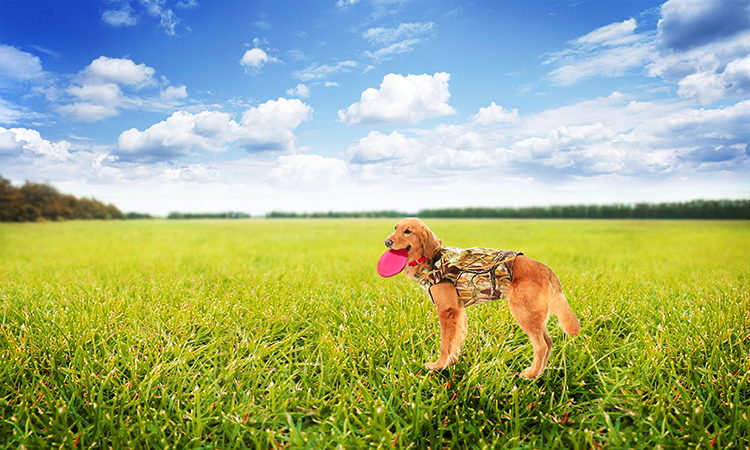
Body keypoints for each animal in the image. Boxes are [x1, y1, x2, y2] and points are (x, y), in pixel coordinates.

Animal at [388, 218, 580, 380]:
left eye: (407, 231)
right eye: (395, 228)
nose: (387, 242)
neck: (431, 259)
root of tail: (546, 269)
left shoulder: (447, 310)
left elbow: (445, 342)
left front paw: (438, 365)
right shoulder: (459, 310)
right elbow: (456, 340)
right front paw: (451, 362)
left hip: (525, 313)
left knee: (541, 346)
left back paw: (531, 374)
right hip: (534, 316)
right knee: (548, 342)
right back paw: (539, 372)